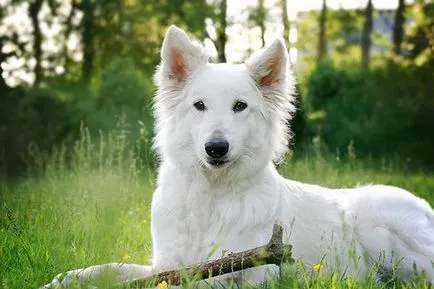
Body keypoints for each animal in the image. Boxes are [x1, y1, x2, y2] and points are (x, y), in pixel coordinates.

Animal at [43, 25, 434, 286]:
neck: (212, 196)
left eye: (240, 106)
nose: (216, 148)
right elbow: (114, 269)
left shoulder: (247, 273)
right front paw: (66, 278)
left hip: (381, 228)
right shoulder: (164, 265)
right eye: (200, 105)